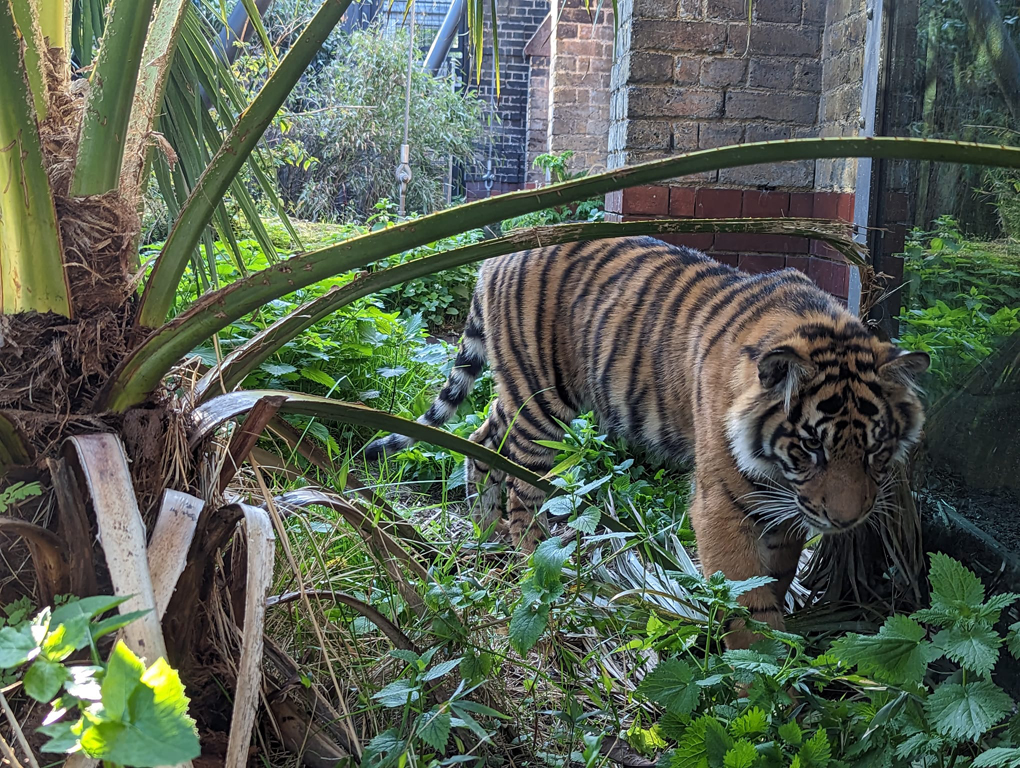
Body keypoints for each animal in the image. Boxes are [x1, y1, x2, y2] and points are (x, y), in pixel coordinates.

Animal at [363, 236, 930, 644]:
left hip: (519, 396)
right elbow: (747, 602)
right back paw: (532, 569)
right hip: (544, 403)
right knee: (522, 487)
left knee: (482, 439)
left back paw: (483, 535)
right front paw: (764, 690)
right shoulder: (722, 505)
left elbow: (777, 577)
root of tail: (498, 253)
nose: (847, 521)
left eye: (876, 450)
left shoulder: (787, 511)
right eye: (812, 448)